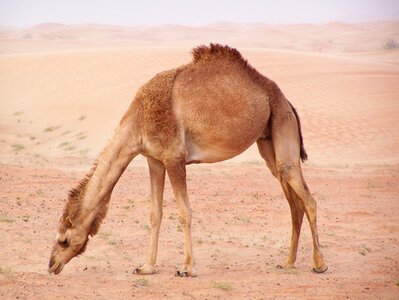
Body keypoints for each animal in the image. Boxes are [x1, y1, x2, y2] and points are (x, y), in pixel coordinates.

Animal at [47, 44, 328, 276]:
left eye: (63, 240)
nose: (51, 264)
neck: (138, 120)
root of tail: (286, 100)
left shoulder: (174, 158)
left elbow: (184, 213)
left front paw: (187, 268)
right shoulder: (154, 160)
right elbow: (155, 213)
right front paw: (146, 267)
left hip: (282, 123)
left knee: (309, 200)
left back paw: (319, 264)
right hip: (268, 142)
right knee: (293, 202)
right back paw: (288, 263)